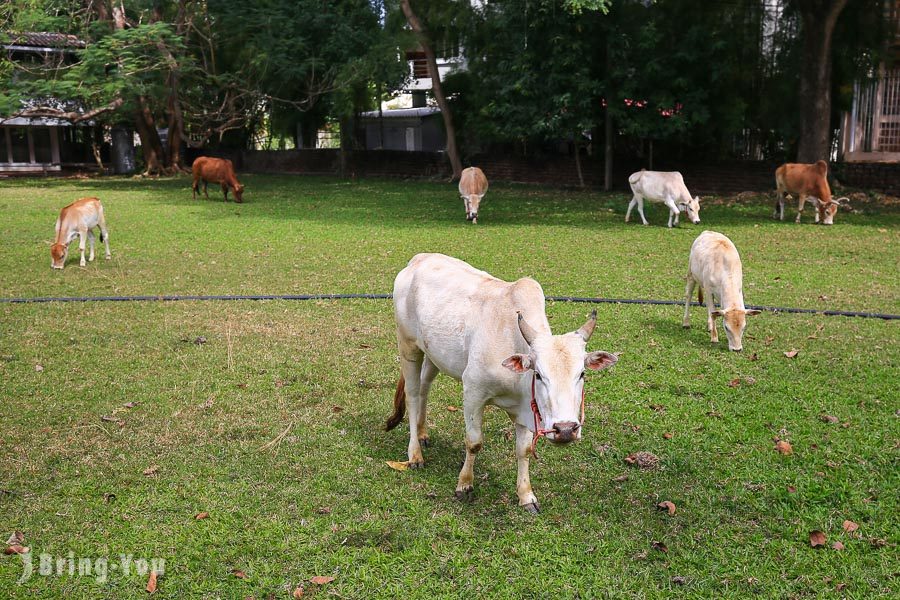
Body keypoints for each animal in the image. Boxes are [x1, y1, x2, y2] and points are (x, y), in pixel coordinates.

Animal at [384, 251, 624, 512]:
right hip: (408, 346)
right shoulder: (473, 393)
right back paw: (415, 454)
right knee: (413, 395)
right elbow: (474, 442)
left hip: (434, 354)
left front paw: (526, 496)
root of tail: (419, 258)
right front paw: (464, 485)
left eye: (582, 374)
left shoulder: (526, 408)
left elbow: (524, 450)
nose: (566, 430)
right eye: (538, 374)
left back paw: (423, 433)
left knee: (425, 387)